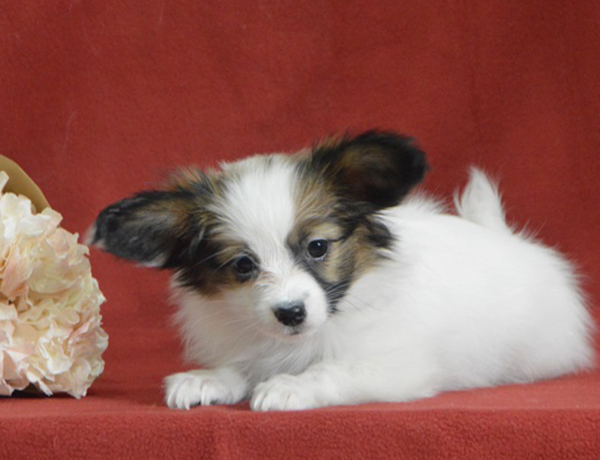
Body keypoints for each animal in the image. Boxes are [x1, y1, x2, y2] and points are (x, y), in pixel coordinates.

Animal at [88, 130, 595, 411]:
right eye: (243, 265)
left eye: (318, 247)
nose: (289, 312)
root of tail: (505, 237)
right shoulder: (256, 343)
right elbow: (242, 366)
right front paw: (206, 379)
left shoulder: (393, 365)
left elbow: (329, 371)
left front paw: (287, 387)